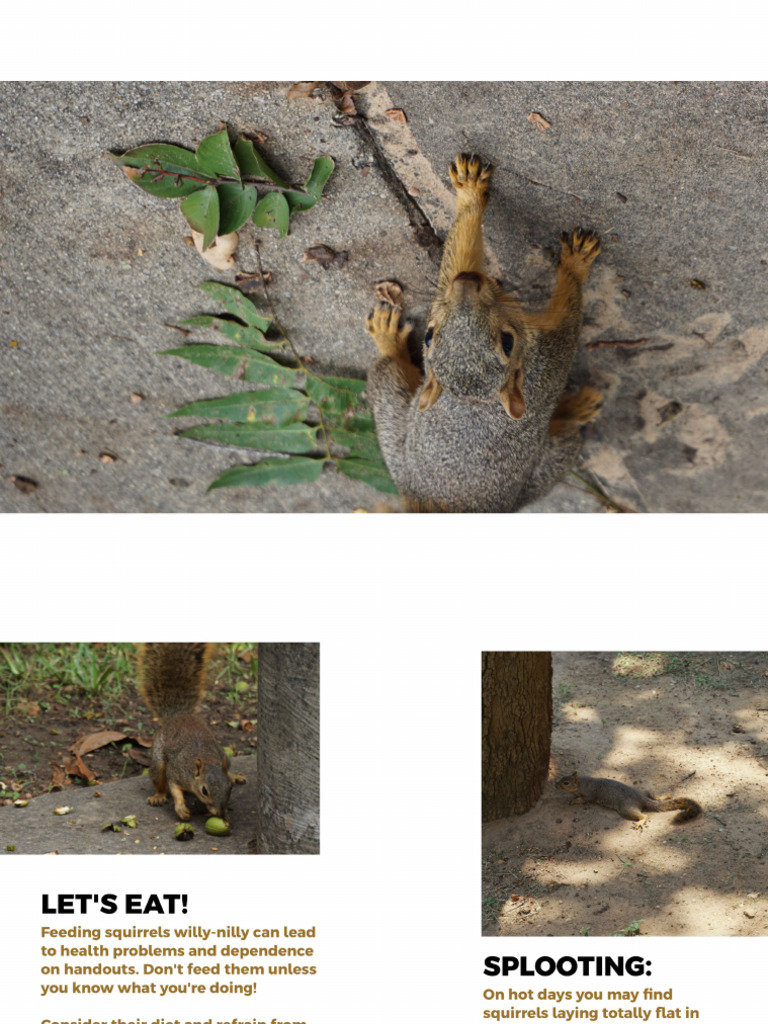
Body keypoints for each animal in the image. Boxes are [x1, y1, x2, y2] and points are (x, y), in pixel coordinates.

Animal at [138, 643, 245, 823]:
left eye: (229, 788)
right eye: (204, 791)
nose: (220, 812)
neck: (207, 760)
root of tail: (179, 715)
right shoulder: (176, 771)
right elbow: (175, 789)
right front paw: (181, 808)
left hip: (224, 754)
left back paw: (235, 775)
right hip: (158, 758)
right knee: (158, 778)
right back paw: (158, 796)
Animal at [365, 152, 603, 512]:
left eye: (507, 341)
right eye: (428, 336)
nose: (466, 284)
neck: (479, 399)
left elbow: (459, 263)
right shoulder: (550, 357)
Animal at [556, 771, 702, 826]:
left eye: (566, 783)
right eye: (562, 777)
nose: (555, 784)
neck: (583, 783)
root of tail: (641, 798)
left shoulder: (589, 795)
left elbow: (583, 799)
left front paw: (574, 800)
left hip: (626, 808)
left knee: (643, 815)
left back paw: (640, 822)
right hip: (644, 792)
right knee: (652, 794)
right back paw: (663, 796)